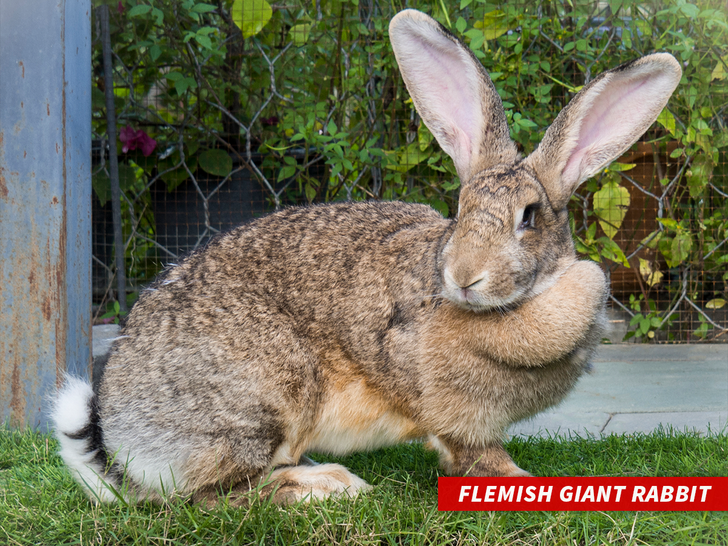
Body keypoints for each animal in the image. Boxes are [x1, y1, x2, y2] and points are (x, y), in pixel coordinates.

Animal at [52, 9, 681, 506]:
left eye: (529, 217)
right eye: (460, 209)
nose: (464, 277)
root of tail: (121, 438)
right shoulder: (453, 412)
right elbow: (478, 455)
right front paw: (525, 483)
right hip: (262, 396)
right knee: (214, 497)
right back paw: (327, 486)